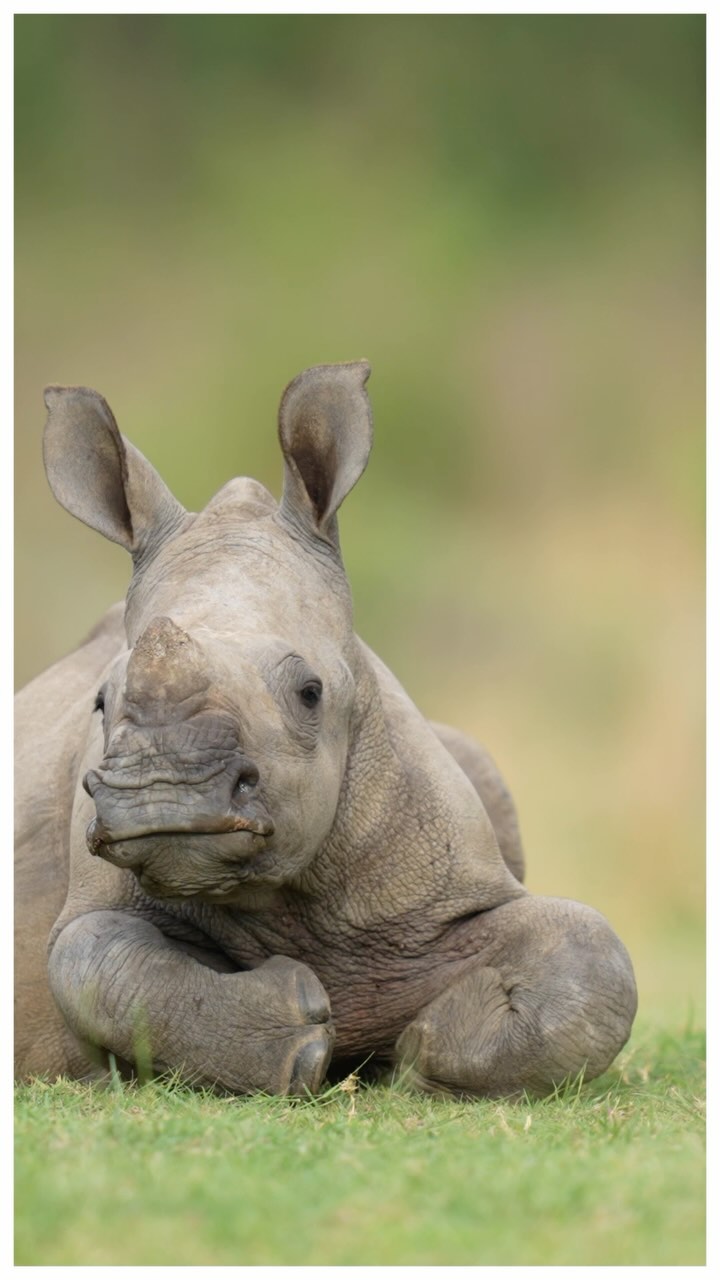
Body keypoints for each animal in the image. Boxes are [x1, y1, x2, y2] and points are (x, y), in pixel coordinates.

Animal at [15, 363, 632, 1100]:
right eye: (102, 703)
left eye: (311, 694)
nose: (163, 795)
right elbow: (88, 958)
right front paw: (300, 1035)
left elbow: (595, 958)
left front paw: (423, 1050)